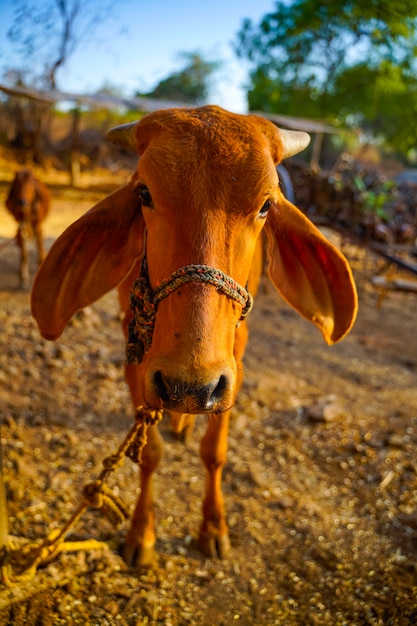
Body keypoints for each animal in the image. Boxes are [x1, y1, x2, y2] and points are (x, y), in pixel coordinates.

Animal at [30, 106, 358, 564]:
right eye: (144, 194)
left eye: (266, 205)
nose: (190, 384)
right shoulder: (136, 348)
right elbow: (149, 453)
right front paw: (141, 533)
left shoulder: (233, 361)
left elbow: (214, 453)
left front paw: (213, 527)